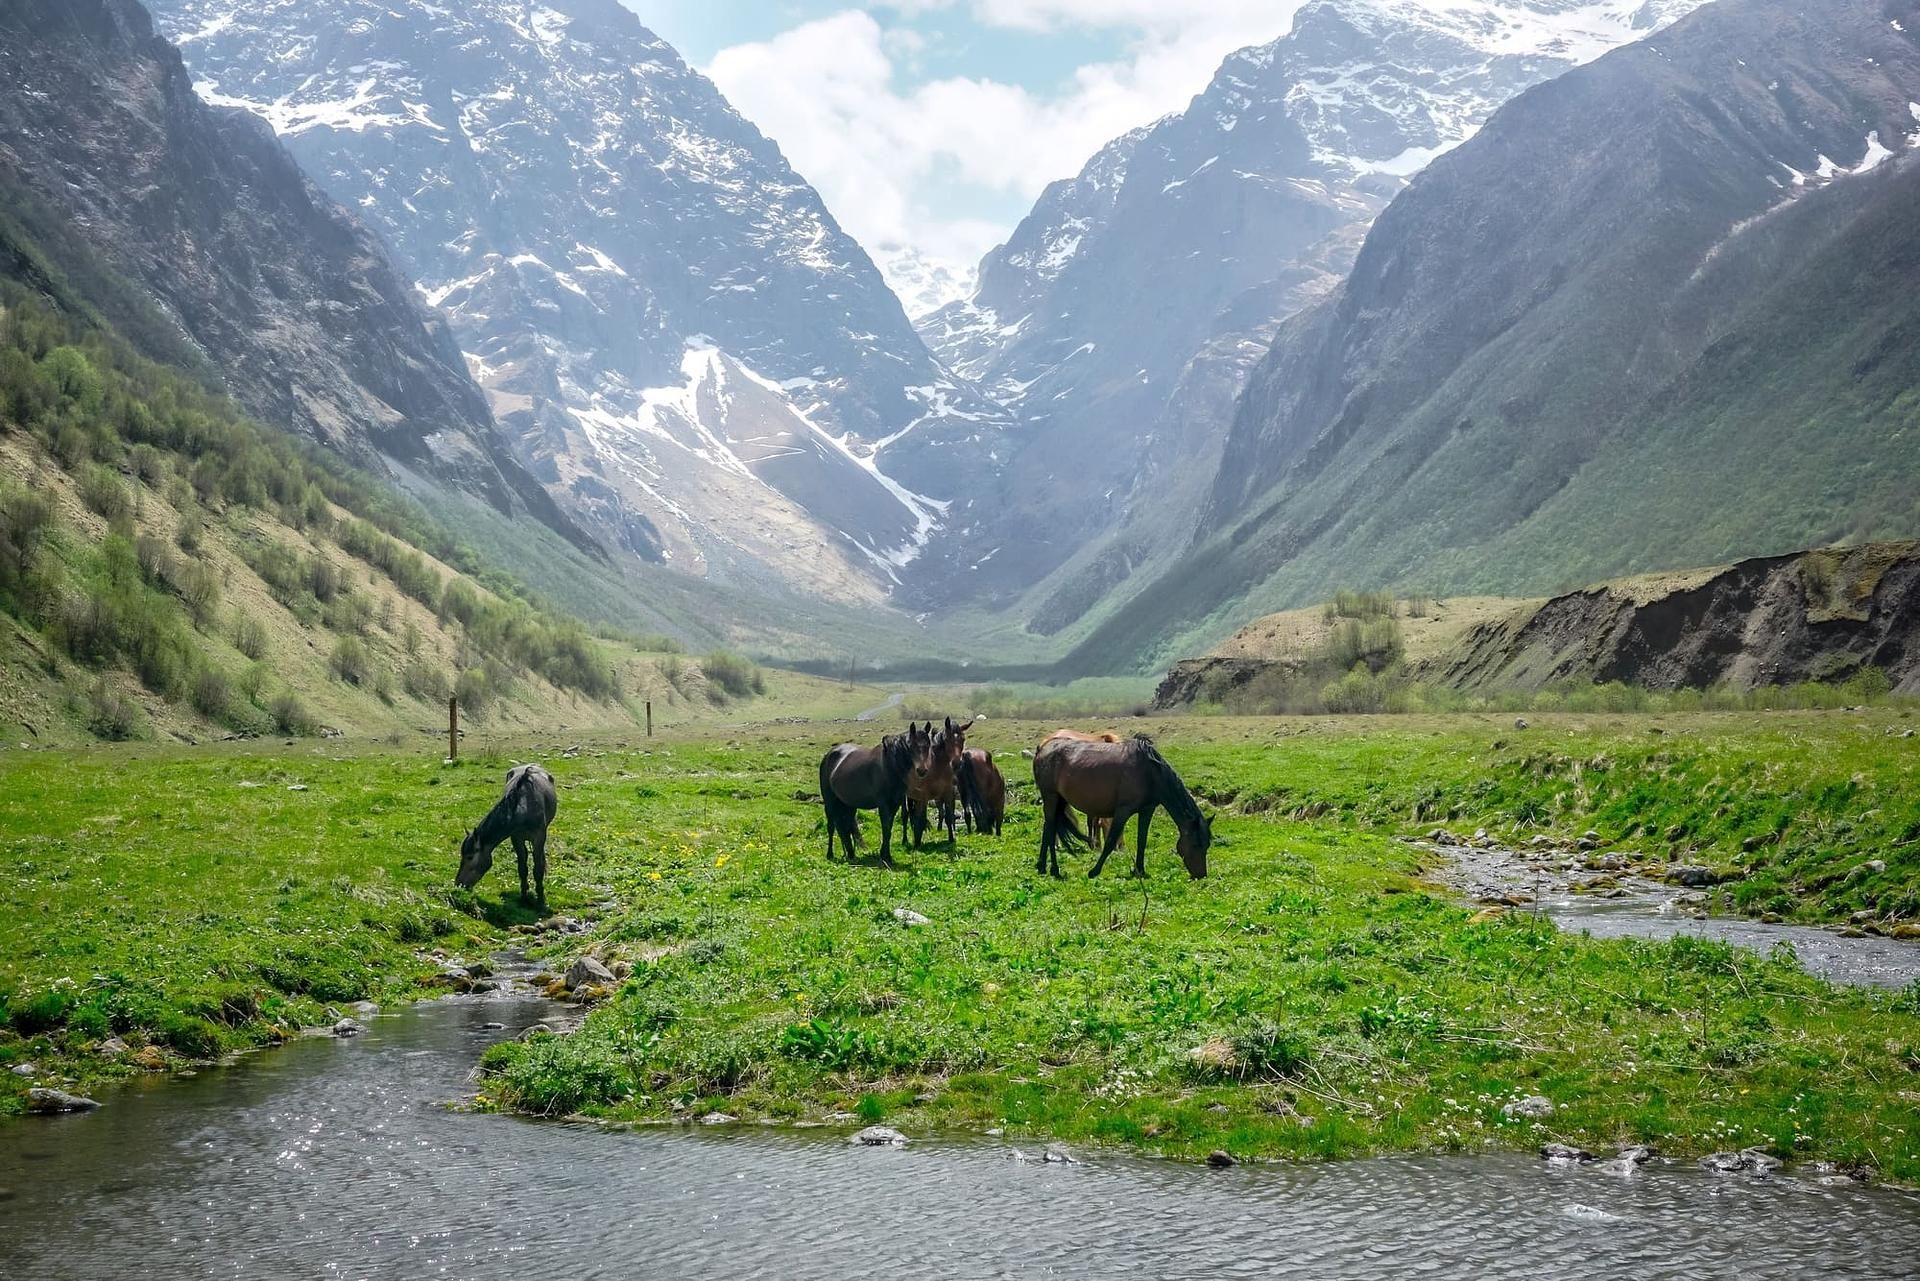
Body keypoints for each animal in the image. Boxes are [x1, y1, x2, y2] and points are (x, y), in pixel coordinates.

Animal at [814, 725, 933, 868]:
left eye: (928, 745)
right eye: (912, 745)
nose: (922, 770)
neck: (889, 766)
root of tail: (828, 755)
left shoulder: (894, 805)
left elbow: (889, 829)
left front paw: (885, 855)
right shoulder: (883, 805)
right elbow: (886, 828)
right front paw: (886, 857)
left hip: (849, 804)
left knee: (846, 828)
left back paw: (851, 854)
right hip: (830, 802)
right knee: (831, 826)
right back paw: (830, 854)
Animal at [1029, 737, 1205, 875]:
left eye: (1207, 844)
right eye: (1196, 844)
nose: (1201, 875)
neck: (1149, 772)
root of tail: (1042, 749)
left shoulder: (1147, 810)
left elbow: (1142, 840)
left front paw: (1139, 871)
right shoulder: (1122, 811)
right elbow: (1111, 840)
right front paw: (1094, 871)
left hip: (1059, 801)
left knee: (1048, 828)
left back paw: (1042, 866)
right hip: (1051, 797)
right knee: (1051, 829)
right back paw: (1054, 869)